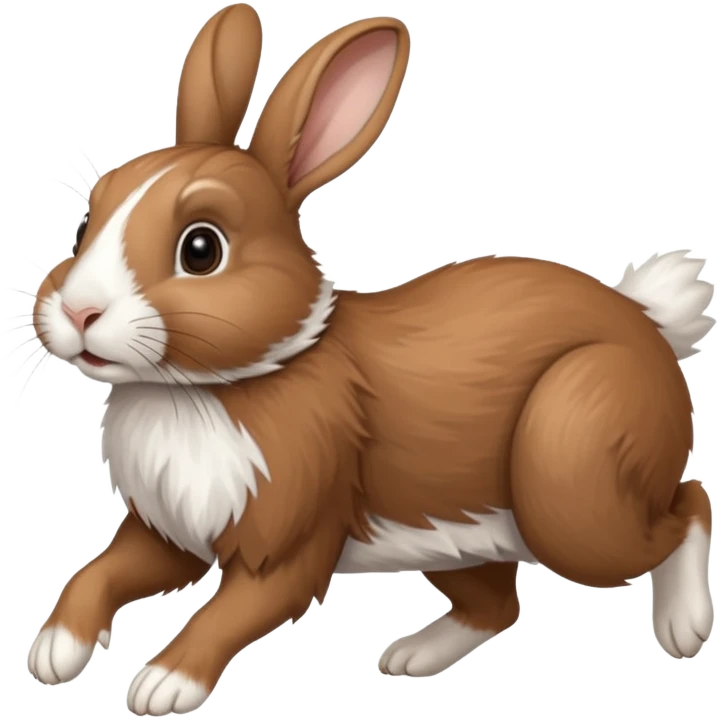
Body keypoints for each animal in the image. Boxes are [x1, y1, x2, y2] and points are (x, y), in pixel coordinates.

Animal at [26, 2, 715, 715]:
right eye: (85, 224)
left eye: (201, 249)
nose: (78, 312)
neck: (199, 388)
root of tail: (648, 324)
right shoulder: (166, 533)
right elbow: (98, 574)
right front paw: (52, 651)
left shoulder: (291, 544)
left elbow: (228, 612)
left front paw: (163, 685)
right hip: (459, 536)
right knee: (499, 604)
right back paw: (410, 657)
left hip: (572, 478)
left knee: (689, 506)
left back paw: (684, 627)